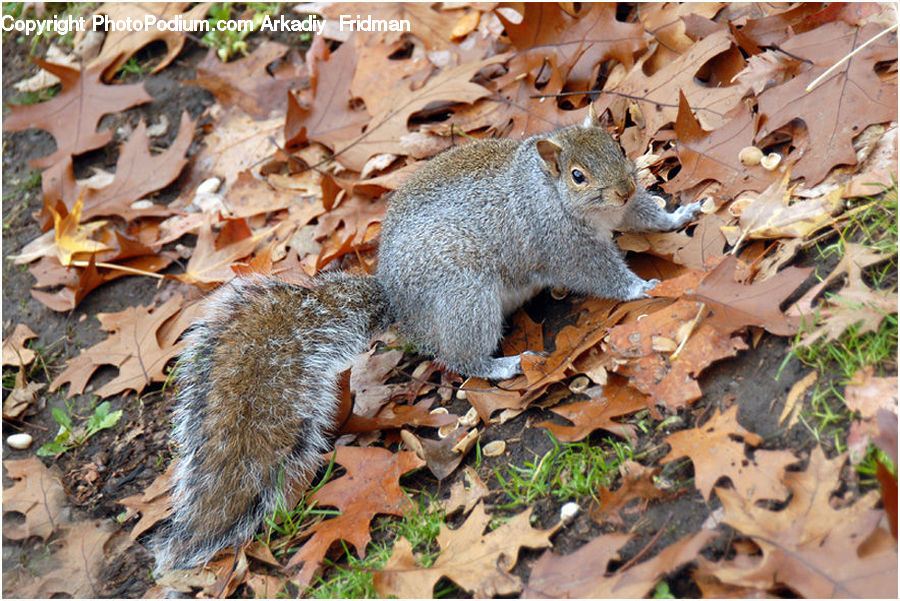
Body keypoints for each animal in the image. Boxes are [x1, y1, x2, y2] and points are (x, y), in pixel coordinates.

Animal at [150, 108, 700, 572]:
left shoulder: (623, 213)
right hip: (465, 296)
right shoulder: (560, 243)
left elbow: (644, 215)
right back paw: (501, 365)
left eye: (618, 146)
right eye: (578, 176)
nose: (623, 188)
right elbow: (597, 273)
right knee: (459, 356)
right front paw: (638, 286)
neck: (550, 192)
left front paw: (680, 214)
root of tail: (400, 305)